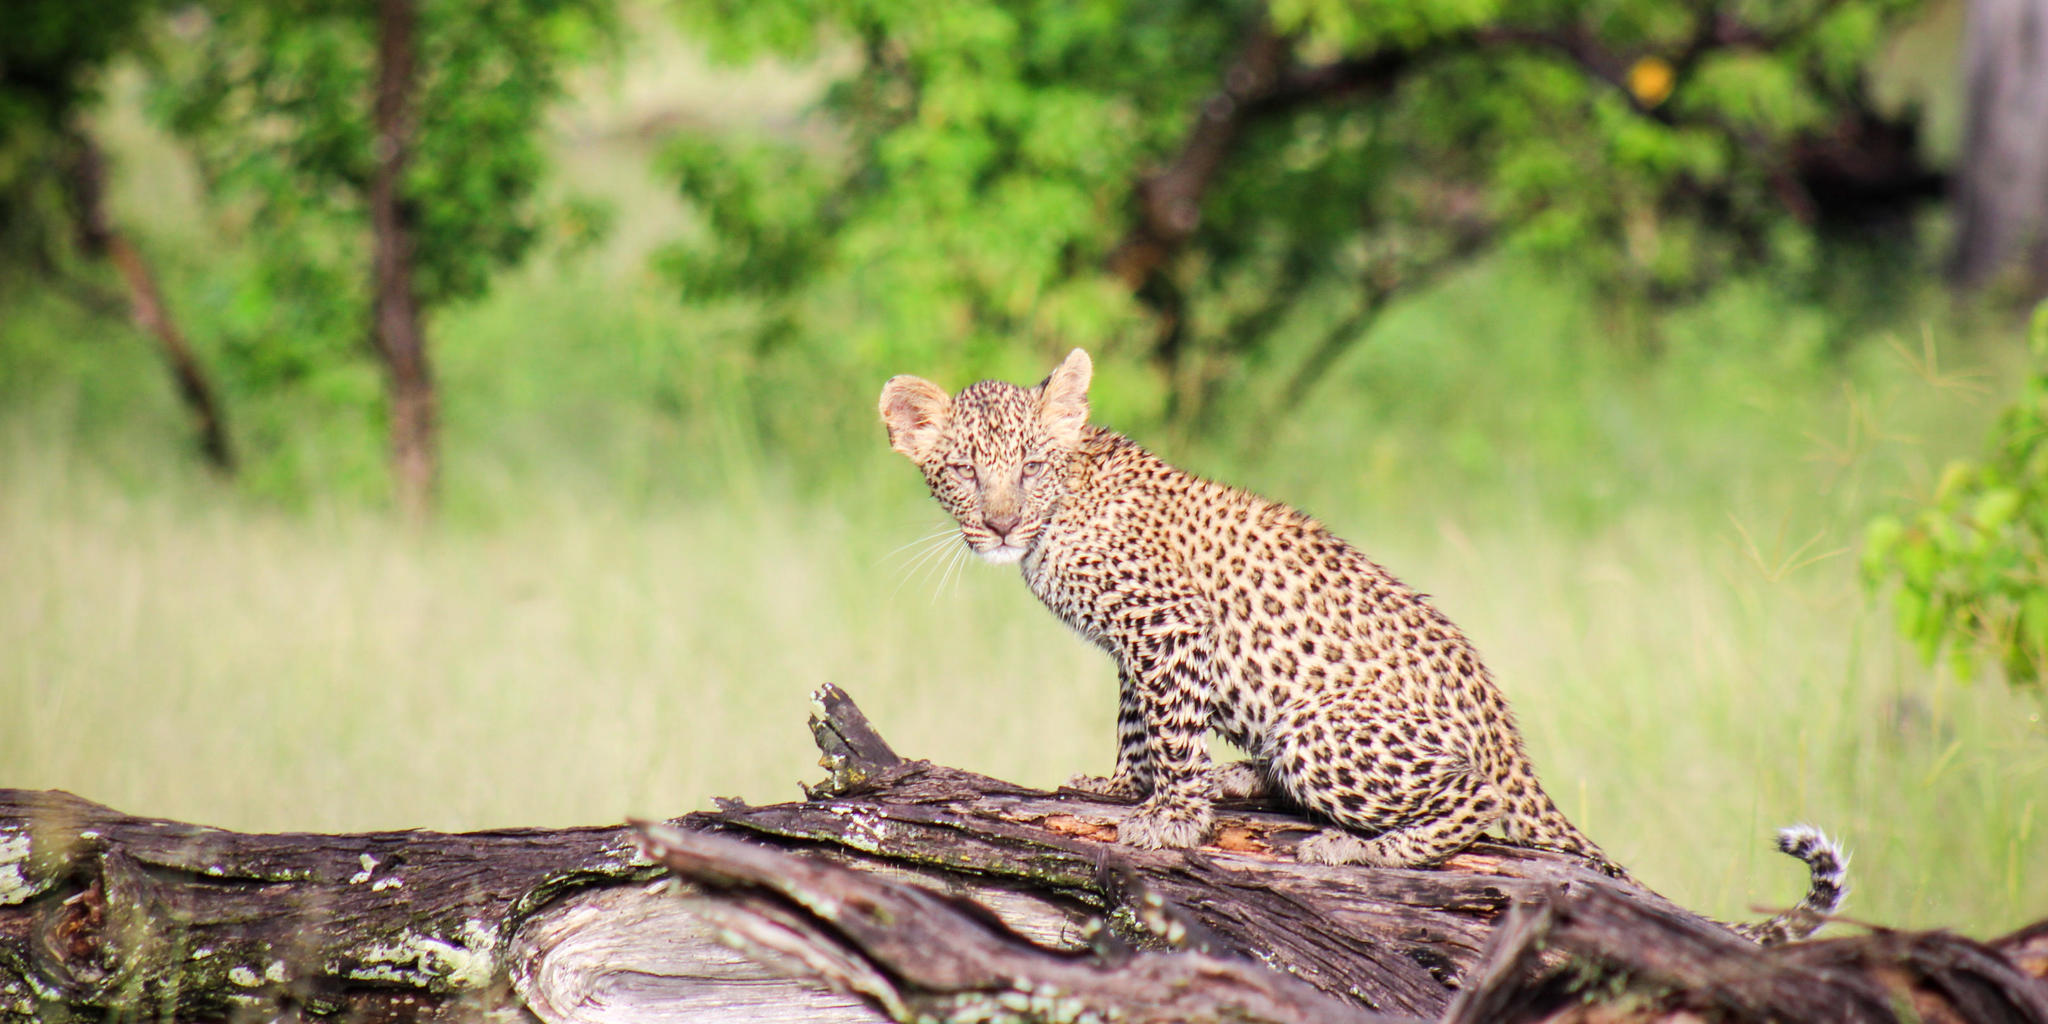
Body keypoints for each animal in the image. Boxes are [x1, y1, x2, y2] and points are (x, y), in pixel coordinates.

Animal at [879, 347, 1848, 945]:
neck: (1062, 513)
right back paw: (1248, 782)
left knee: (1472, 802)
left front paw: (1170, 816)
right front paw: (1122, 787)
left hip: (1328, 728)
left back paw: (1351, 846)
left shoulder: (1171, 626)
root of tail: (1509, 739)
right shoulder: (1137, 645)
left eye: (1031, 468)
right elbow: (1139, 725)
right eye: (964, 473)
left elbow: (1170, 731)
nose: (1000, 523)